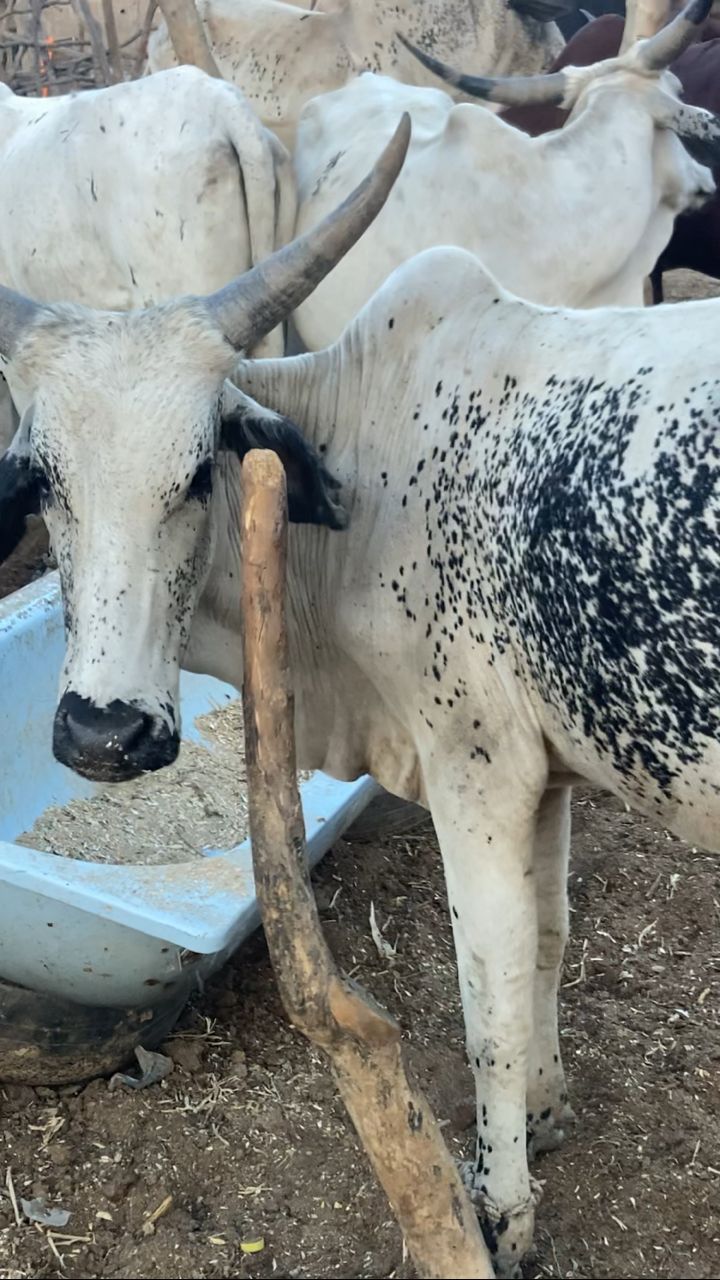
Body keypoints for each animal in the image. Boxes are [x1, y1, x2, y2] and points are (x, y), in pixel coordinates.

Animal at [1, 133, 720, 1266]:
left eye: (197, 472)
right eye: (41, 479)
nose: (103, 732)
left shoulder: (477, 771)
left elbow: (489, 1002)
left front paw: (502, 1210)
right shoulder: (546, 772)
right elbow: (548, 945)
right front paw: (545, 1116)